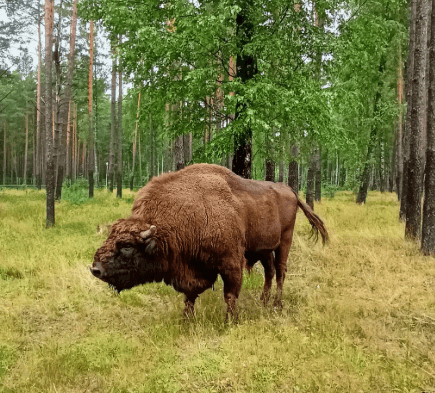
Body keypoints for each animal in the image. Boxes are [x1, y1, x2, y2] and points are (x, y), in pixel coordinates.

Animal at [93, 162, 330, 318]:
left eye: (127, 246)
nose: (95, 269)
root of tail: (289, 189)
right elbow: (189, 296)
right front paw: (187, 320)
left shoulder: (231, 262)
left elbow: (230, 294)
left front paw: (230, 321)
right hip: (263, 249)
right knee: (269, 272)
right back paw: (263, 302)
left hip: (284, 241)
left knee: (280, 272)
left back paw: (276, 305)